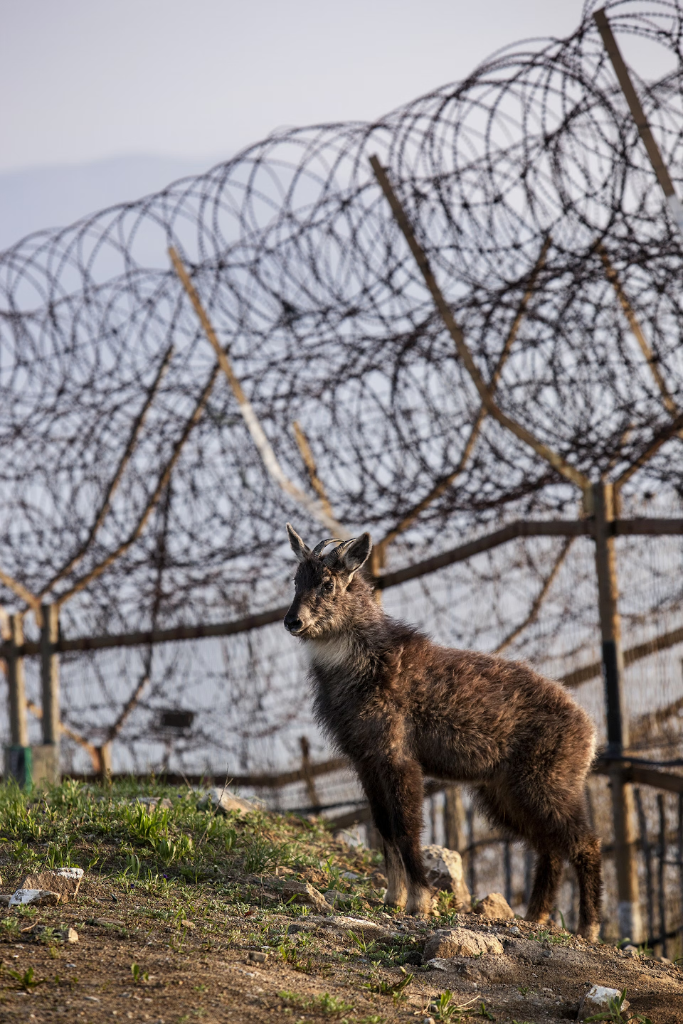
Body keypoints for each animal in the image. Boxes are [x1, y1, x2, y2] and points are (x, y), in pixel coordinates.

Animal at [284, 524, 602, 939]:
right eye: (295, 580)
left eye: (326, 583)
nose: (293, 621)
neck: (363, 663)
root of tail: (590, 729)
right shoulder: (365, 760)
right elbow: (384, 828)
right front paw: (393, 898)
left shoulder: (399, 757)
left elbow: (406, 828)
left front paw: (420, 901)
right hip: (505, 793)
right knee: (548, 848)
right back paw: (535, 918)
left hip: (548, 784)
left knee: (585, 842)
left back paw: (588, 928)